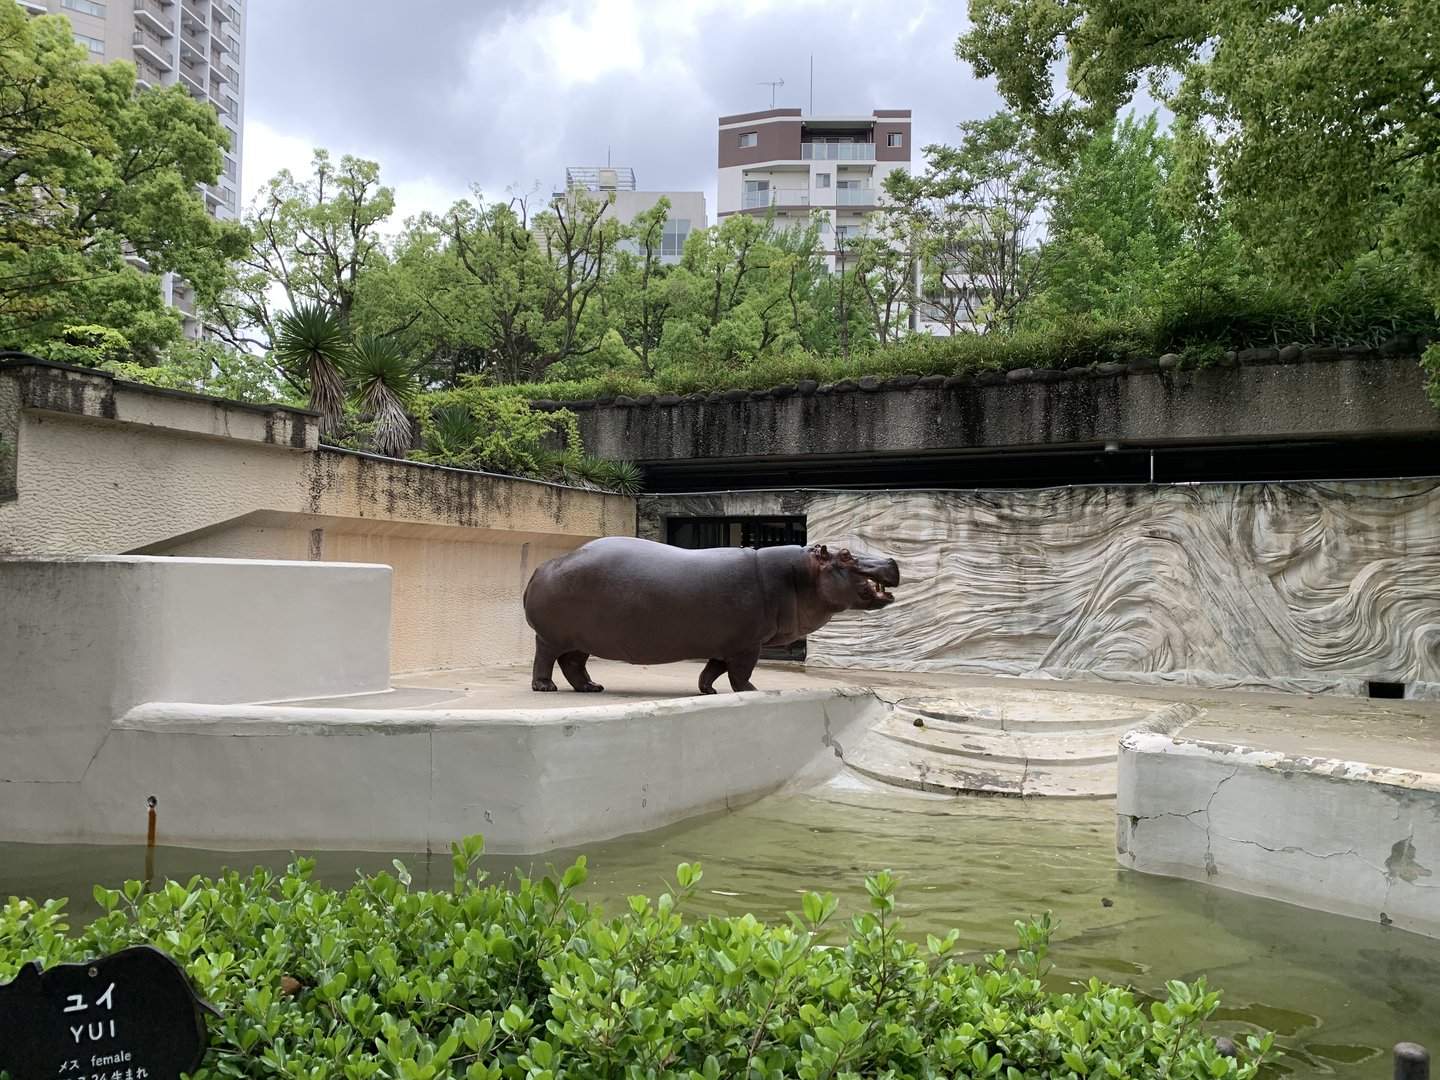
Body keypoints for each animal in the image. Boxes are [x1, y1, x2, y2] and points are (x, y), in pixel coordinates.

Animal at [524, 536, 900, 694]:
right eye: (846, 555)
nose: (891, 561)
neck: (799, 575)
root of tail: (542, 567)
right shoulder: (748, 645)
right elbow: (740, 673)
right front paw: (752, 690)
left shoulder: (727, 644)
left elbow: (713, 670)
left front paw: (708, 691)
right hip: (552, 636)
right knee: (544, 658)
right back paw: (545, 687)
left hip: (580, 639)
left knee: (574, 664)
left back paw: (592, 687)